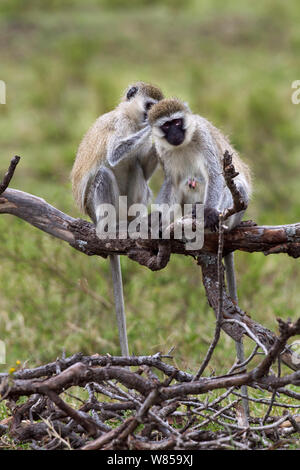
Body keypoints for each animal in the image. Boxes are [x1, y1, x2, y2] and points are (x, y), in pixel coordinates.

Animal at [70, 82, 164, 356]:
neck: (132, 120)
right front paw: (153, 128)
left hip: (128, 205)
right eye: (149, 106)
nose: (153, 117)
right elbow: (113, 155)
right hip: (97, 208)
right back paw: (109, 225)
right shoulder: (119, 125)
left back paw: (138, 221)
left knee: (137, 168)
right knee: (104, 171)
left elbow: (144, 164)